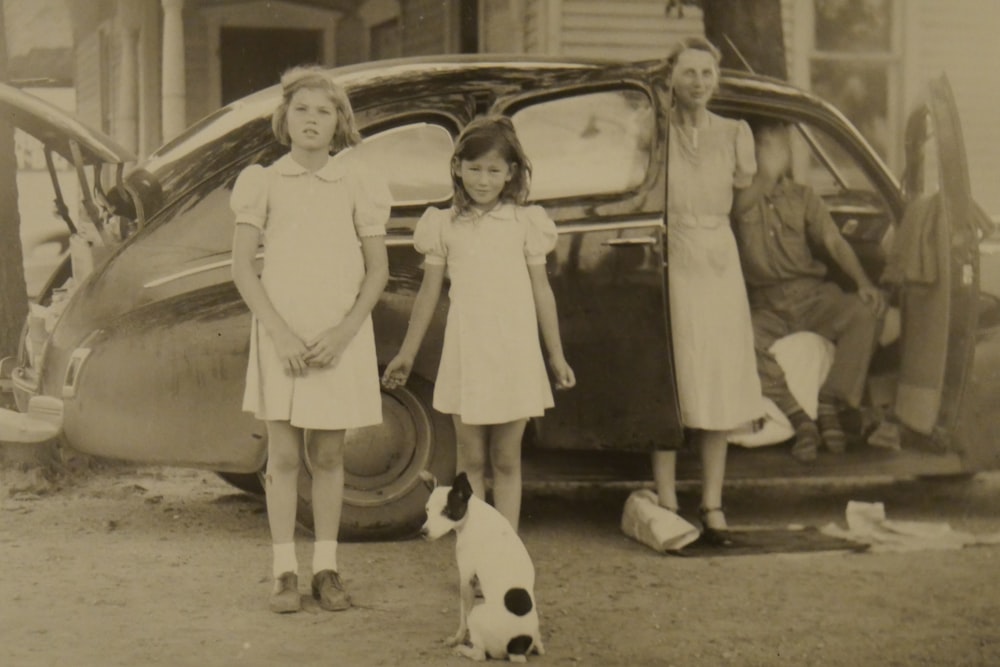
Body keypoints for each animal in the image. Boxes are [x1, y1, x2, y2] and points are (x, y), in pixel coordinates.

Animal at [422, 472, 548, 664]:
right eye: (427, 510)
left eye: (446, 511)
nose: (423, 532)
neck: (472, 516)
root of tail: (517, 644)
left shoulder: (466, 580)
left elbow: (463, 618)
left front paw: (457, 639)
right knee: (538, 645)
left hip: (477, 614)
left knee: (479, 655)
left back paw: (462, 649)